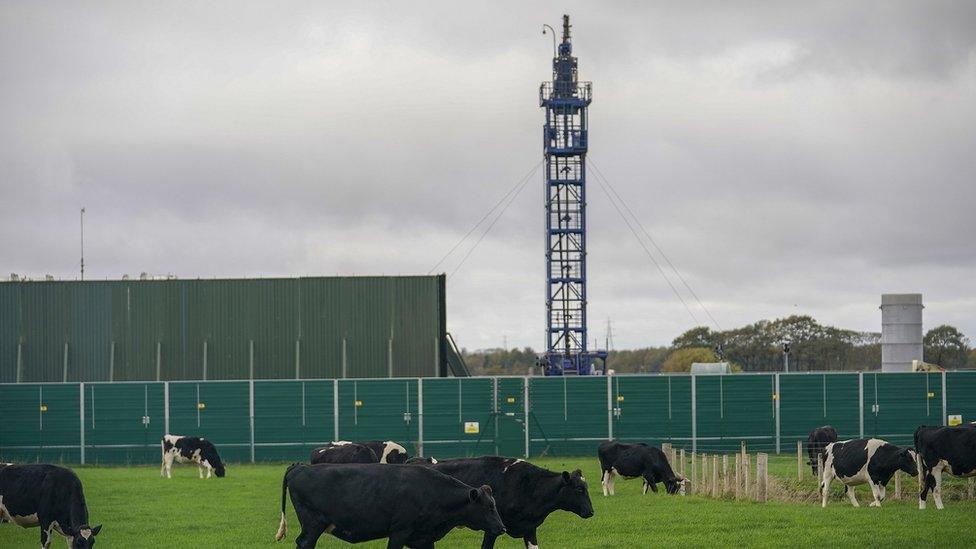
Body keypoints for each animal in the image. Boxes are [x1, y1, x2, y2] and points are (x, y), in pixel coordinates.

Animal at [272, 462, 504, 548]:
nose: (502, 528)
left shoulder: (423, 538)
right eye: (489, 507)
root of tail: (300, 467)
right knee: (304, 543)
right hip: (313, 525)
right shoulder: (400, 532)